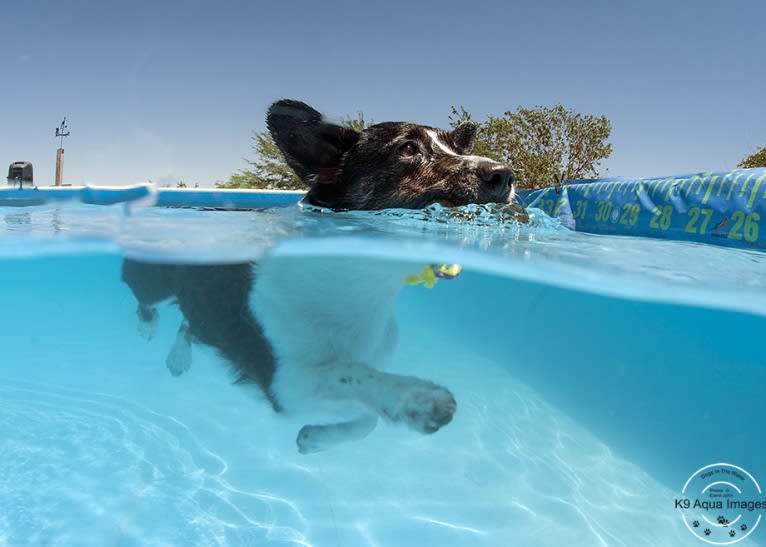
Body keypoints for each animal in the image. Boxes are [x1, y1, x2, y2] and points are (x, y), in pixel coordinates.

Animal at [121, 99, 516, 454]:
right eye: (407, 149)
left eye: (456, 148)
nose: (506, 176)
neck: (365, 288)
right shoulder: (286, 384)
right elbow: (346, 373)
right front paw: (416, 398)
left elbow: (367, 420)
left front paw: (314, 439)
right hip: (157, 279)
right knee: (144, 297)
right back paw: (147, 327)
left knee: (190, 322)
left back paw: (178, 356)